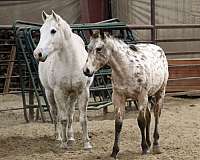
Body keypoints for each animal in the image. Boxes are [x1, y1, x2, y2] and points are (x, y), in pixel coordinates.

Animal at [33, 11, 93, 150]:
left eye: (53, 31)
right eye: (41, 31)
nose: (37, 53)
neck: (70, 62)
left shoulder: (83, 91)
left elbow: (82, 118)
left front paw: (87, 144)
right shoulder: (59, 92)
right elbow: (63, 118)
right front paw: (63, 144)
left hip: (72, 95)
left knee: (70, 113)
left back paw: (71, 138)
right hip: (50, 93)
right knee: (55, 114)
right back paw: (59, 137)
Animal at [83, 30, 169, 159]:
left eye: (99, 48)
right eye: (88, 48)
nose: (86, 70)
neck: (126, 68)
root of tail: (159, 49)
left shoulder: (141, 96)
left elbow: (141, 121)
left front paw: (144, 148)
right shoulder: (118, 97)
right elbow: (118, 123)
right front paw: (114, 151)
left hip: (159, 92)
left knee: (156, 115)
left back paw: (155, 145)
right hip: (147, 97)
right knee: (149, 116)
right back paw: (149, 143)